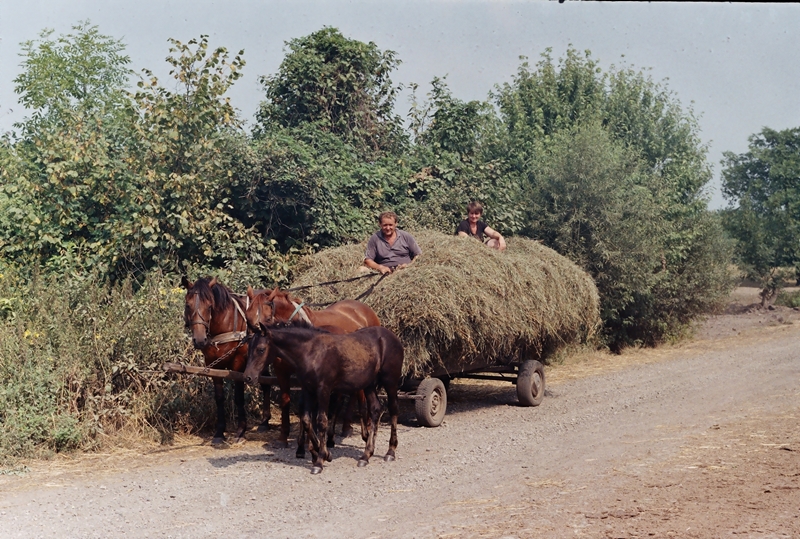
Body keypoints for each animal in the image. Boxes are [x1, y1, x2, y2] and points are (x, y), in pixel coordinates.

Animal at [181, 276, 272, 446]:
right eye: (187, 305)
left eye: (210, 306)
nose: (200, 340)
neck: (224, 324)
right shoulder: (213, 364)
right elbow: (219, 398)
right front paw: (219, 433)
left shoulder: (238, 363)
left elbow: (239, 397)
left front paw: (241, 432)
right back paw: (264, 422)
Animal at [244, 322, 404, 474]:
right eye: (249, 349)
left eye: (261, 349)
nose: (248, 377)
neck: (312, 352)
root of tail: (392, 336)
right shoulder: (308, 390)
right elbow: (307, 420)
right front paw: (325, 454)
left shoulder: (324, 390)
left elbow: (321, 421)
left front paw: (319, 461)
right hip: (369, 385)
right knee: (376, 409)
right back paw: (366, 455)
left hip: (390, 381)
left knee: (394, 409)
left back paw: (390, 452)